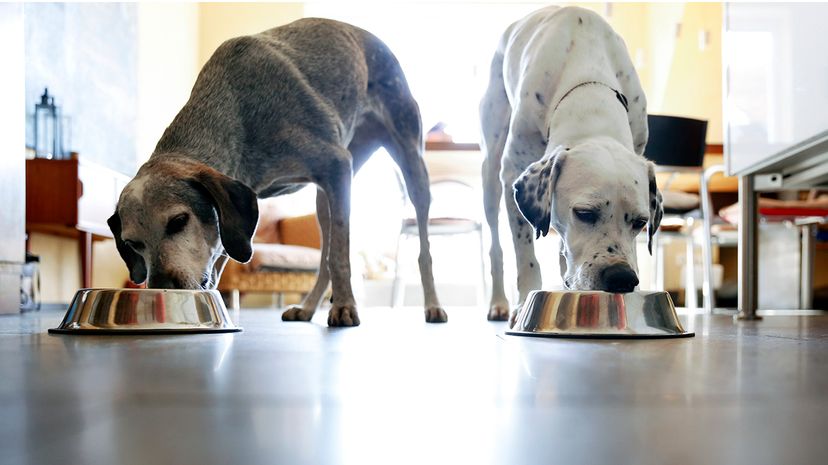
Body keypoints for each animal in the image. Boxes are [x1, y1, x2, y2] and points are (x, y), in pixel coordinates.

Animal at [482, 5, 664, 322]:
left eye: (641, 222)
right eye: (585, 213)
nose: (621, 278)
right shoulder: (513, 173)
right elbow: (525, 254)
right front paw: (524, 302)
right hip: (491, 172)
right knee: (496, 245)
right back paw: (499, 302)